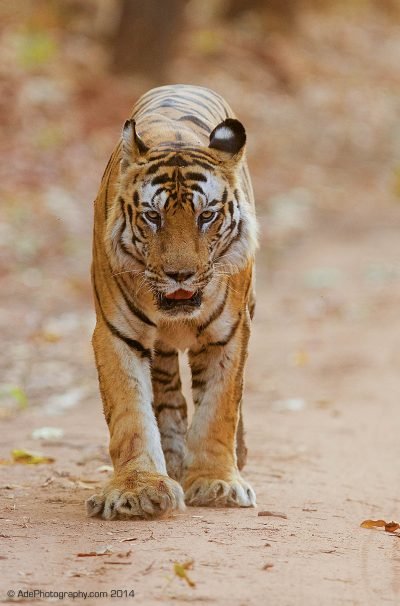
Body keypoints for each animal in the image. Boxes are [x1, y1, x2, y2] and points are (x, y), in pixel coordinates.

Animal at [86, 84, 258, 524]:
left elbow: (219, 408)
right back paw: (175, 459)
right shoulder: (116, 333)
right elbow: (130, 414)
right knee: (168, 396)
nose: (180, 274)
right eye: (153, 216)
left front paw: (217, 482)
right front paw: (138, 490)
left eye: (207, 216)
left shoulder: (229, 333)